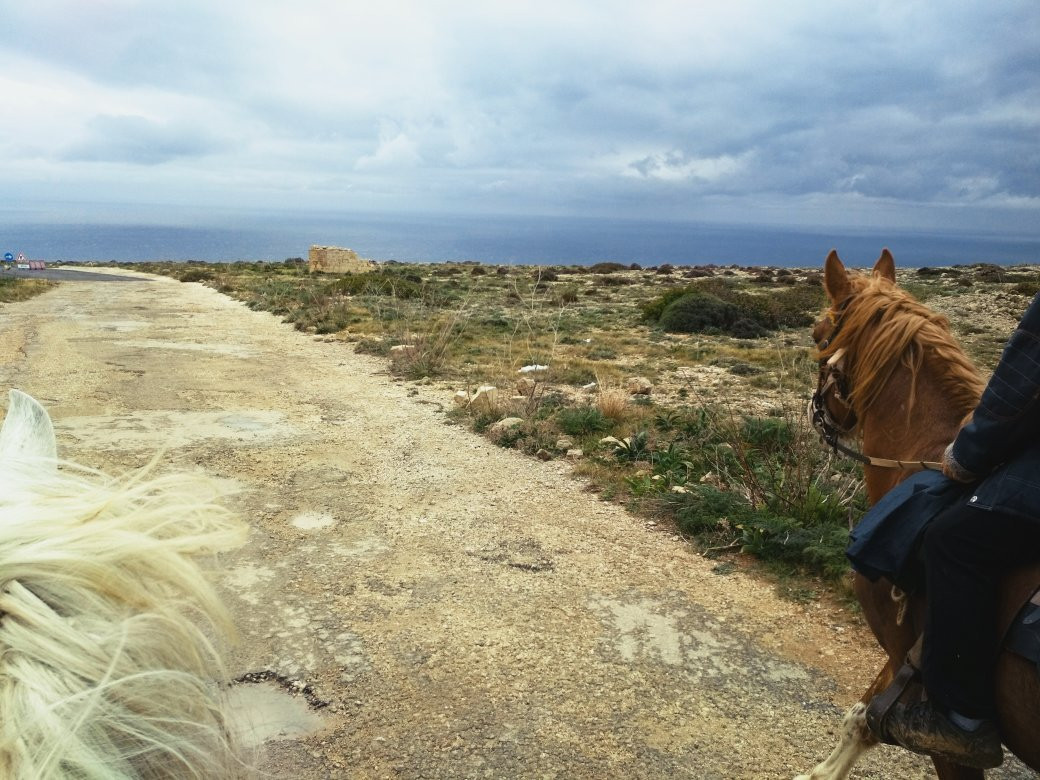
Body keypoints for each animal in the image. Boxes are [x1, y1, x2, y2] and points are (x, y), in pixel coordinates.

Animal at [795, 251, 1040, 779]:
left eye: (817, 332)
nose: (818, 415)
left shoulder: (925, 689)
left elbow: (870, 719)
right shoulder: (901, 663)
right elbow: (863, 718)